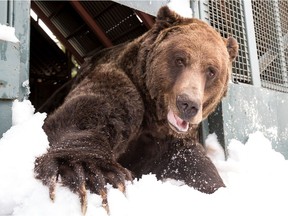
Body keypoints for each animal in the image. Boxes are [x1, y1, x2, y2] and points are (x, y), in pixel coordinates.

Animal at [35, 5, 237, 215]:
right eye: (180, 59)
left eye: (211, 71)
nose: (188, 104)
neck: (154, 116)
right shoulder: (122, 86)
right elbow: (88, 115)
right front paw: (93, 172)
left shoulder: (170, 141)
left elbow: (195, 164)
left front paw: (218, 191)